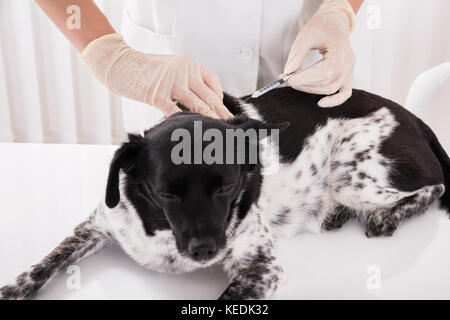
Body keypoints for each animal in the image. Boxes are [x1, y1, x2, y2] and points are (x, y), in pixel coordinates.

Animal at [0, 86, 450, 298]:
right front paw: (15, 287)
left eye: (229, 188)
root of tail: (415, 117)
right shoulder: (98, 224)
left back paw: (385, 216)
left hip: (350, 172)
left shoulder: (260, 265)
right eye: (165, 194)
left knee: (435, 186)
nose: (205, 251)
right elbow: (47, 262)